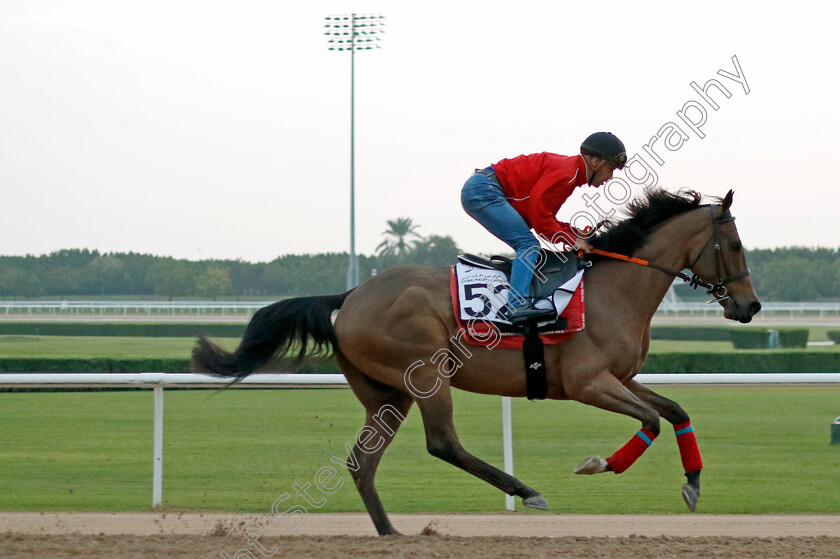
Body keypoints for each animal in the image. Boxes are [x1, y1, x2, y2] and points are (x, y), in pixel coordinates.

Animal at [192, 190, 760, 536]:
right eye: (733, 244)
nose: (750, 306)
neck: (611, 291)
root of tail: (351, 295)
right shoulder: (587, 383)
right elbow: (649, 421)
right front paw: (599, 464)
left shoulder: (619, 377)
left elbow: (675, 411)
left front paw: (693, 484)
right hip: (426, 372)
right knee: (443, 443)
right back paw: (525, 491)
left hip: (387, 394)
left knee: (362, 461)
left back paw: (390, 531)